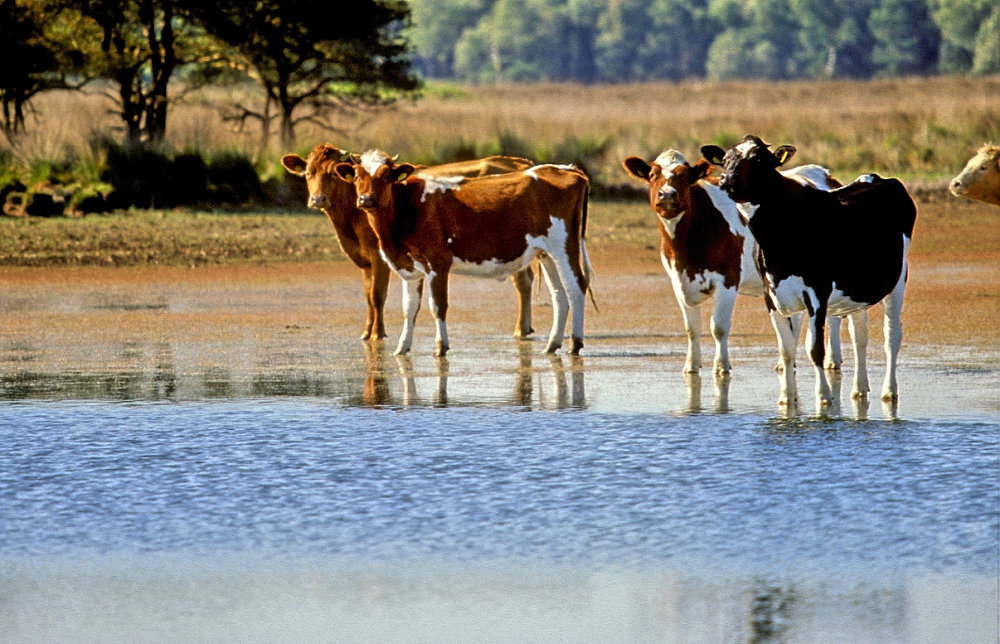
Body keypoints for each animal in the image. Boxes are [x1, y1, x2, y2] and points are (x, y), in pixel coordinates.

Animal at [282, 144, 540, 340]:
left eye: (333, 174)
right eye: (308, 173)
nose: (318, 199)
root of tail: (519, 162)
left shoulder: (380, 256)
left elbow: (377, 295)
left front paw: (378, 334)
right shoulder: (365, 260)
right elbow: (367, 295)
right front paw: (366, 332)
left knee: (522, 282)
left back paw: (520, 330)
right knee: (526, 280)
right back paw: (525, 328)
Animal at [334, 150, 592, 358]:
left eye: (386, 175)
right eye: (357, 175)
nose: (366, 199)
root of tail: (565, 168)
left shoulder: (437, 262)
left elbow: (437, 305)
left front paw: (441, 347)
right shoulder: (411, 267)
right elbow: (409, 308)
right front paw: (402, 348)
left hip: (563, 245)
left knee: (576, 287)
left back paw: (575, 344)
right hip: (546, 253)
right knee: (559, 294)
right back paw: (552, 345)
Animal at [620, 150, 864, 380]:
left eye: (685, 176)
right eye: (653, 175)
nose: (668, 194)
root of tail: (826, 175)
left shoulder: (728, 281)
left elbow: (718, 327)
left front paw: (721, 367)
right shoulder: (678, 282)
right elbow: (692, 329)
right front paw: (691, 367)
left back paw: (833, 361)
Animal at [700, 136, 916, 408]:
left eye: (759, 160)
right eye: (726, 159)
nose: (727, 179)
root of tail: (875, 177)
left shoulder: (817, 293)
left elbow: (815, 349)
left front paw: (824, 397)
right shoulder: (771, 295)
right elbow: (786, 349)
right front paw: (787, 397)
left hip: (899, 278)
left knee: (892, 335)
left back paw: (889, 391)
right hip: (858, 291)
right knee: (860, 335)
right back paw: (859, 389)